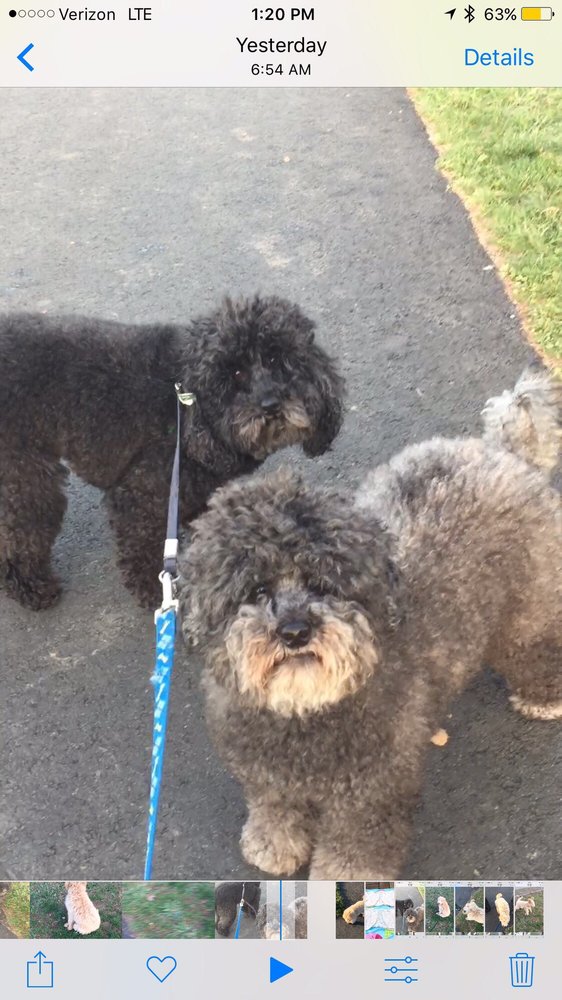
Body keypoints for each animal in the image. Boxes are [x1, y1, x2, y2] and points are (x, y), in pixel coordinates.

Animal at [0, 296, 343, 609]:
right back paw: (30, 586)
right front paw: (159, 594)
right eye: (235, 374)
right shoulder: (139, 497)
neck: (186, 401)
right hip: (24, 474)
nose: (270, 406)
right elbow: (143, 552)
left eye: (275, 359)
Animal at [179, 369, 561, 878]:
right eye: (256, 591)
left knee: (534, 647)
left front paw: (345, 878)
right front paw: (273, 843)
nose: (295, 632)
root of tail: (501, 451)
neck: (305, 712)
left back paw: (543, 696)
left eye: (324, 583)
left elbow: (357, 841)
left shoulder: (372, 787)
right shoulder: (266, 774)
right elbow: (275, 807)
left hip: (528, 609)